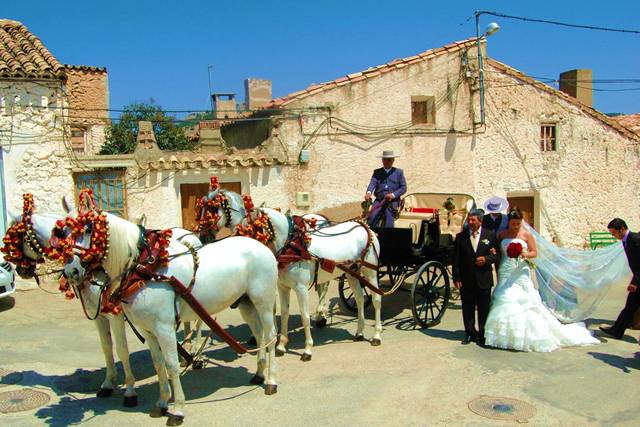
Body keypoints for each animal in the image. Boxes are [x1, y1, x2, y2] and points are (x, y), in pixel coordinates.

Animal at [4, 207, 200, 408]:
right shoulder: (97, 316)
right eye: (65, 235)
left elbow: (122, 349)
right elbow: (106, 348)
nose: (21, 271)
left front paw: (130, 391)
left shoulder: (115, 315)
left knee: (198, 322)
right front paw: (108, 383)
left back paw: (195, 353)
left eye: (18, 238)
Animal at [62, 211, 278, 424]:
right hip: (246, 304)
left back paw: (271, 381)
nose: (70, 271)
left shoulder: (164, 328)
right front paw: (162, 403)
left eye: (88, 229)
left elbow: (171, 365)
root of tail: (261, 246)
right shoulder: (148, 330)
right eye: (62, 232)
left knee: (270, 336)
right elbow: (159, 364)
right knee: (259, 333)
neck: (144, 270)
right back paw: (259, 374)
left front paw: (178, 410)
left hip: (264, 302)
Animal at [200, 187, 382, 362]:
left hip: (370, 271)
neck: (291, 246)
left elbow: (304, 317)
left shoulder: (300, 289)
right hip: (352, 273)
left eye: (212, 209)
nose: (203, 237)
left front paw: (307, 349)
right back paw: (359, 332)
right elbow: (284, 313)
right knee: (359, 298)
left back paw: (375, 335)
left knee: (376, 298)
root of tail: (364, 226)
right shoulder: (282, 287)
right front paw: (280, 345)